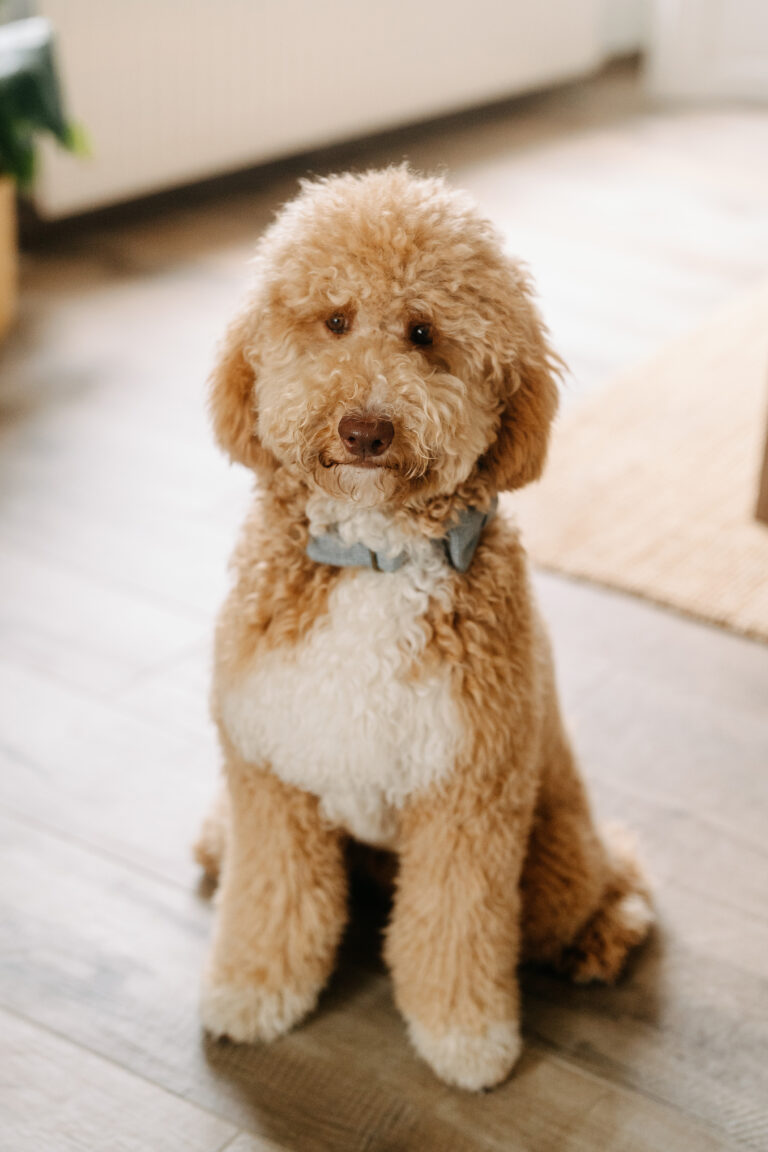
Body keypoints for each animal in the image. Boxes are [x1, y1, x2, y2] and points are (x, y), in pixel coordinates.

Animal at [195, 168, 654, 1087]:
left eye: (422, 333)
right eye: (335, 320)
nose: (365, 429)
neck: (374, 557)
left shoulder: (468, 797)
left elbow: (453, 930)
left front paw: (466, 1039)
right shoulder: (271, 777)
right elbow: (272, 900)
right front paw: (252, 993)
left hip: (553, 861)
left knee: (606, 885)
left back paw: (607, 934)